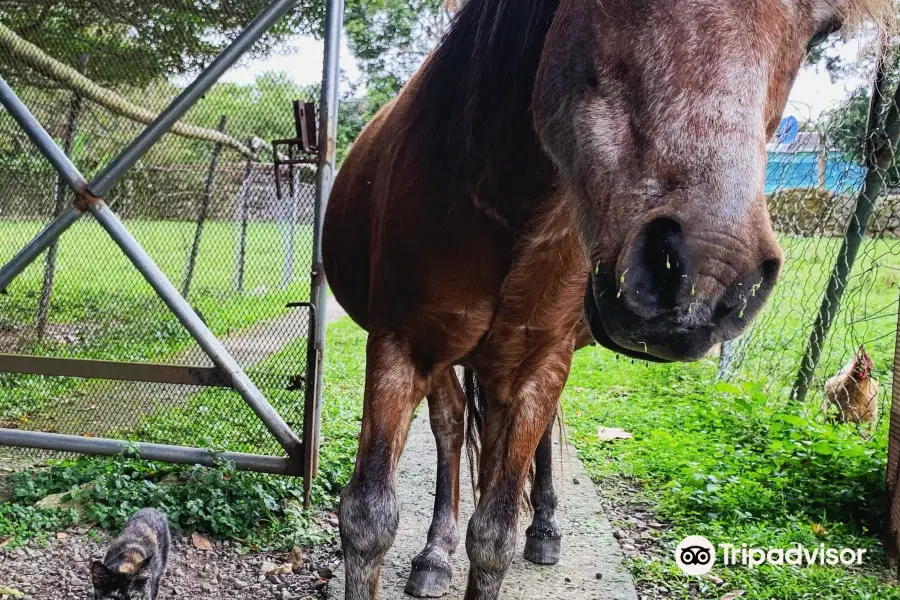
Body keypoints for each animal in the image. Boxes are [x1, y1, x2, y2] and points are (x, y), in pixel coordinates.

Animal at [320, 1, 888, 600]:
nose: (705, 278)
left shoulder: (538, 365)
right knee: (452, 426)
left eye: (823, 28)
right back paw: (435, 553)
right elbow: (369, 517)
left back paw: (543, 529)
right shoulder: (401, 346)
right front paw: (432, 548)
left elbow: (494, 532)